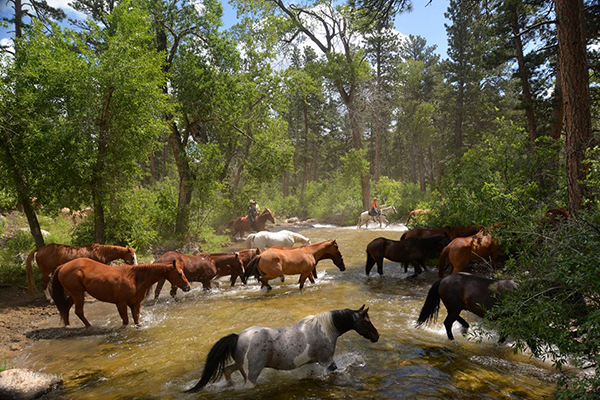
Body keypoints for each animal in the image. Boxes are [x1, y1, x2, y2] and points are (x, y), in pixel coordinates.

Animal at [53, 258, 191, 326]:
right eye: (179, 273)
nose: (188, 287)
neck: (135, 278)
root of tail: (62, 266)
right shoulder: (121, 304)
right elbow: (125, 321)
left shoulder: (135, 304)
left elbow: (136, 321)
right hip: (77, 294)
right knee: (78, 311)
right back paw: (89, 327)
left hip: (75, 294)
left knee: (66, 308)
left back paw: (67, 325)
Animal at [185, 304, 378, 390]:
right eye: (367, 321)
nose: (377, 336)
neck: (325, 329)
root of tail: (238, 336)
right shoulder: (327, 361)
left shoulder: (312, 362)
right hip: (252, 374)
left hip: (240, 366)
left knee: (227, 370)